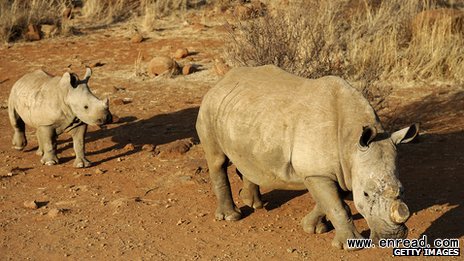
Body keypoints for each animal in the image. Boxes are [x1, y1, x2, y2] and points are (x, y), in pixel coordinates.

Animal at [194, 64, 418, 249]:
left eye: (402, 191)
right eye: (366, 194)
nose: (392, 238)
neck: (351, 141)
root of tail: (220, 82)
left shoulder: (338, 169)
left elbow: (330, 202)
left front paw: (313, 228)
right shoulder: (318, 172)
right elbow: (337, 206)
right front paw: (349, 245)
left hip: (245, 114)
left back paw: (253, 203)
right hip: (210, 107)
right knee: (217, 161)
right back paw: (231, 217)